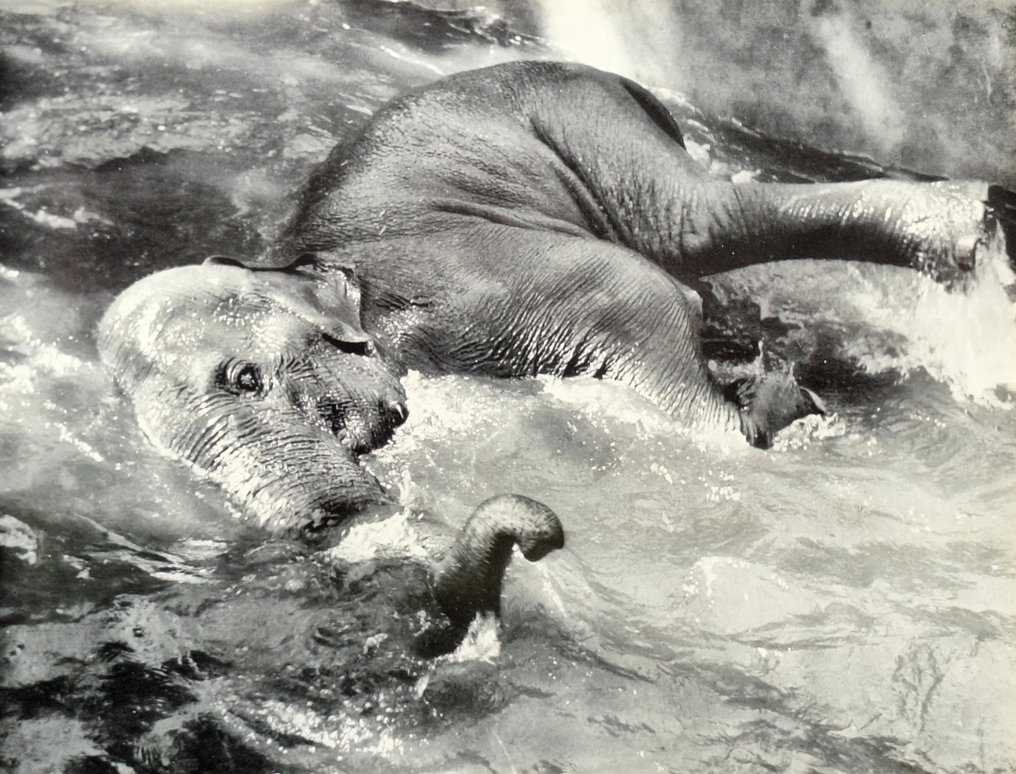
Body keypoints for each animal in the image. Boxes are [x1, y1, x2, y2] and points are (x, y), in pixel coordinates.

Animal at [98, 60, 1012, 532]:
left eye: (244, 378)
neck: (300, 261)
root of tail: (608, 75)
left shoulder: (484, 285)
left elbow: (679, 361)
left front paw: (777, 399)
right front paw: (768, 379)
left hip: (582, 119)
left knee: (696, 223)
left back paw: (969, 230)